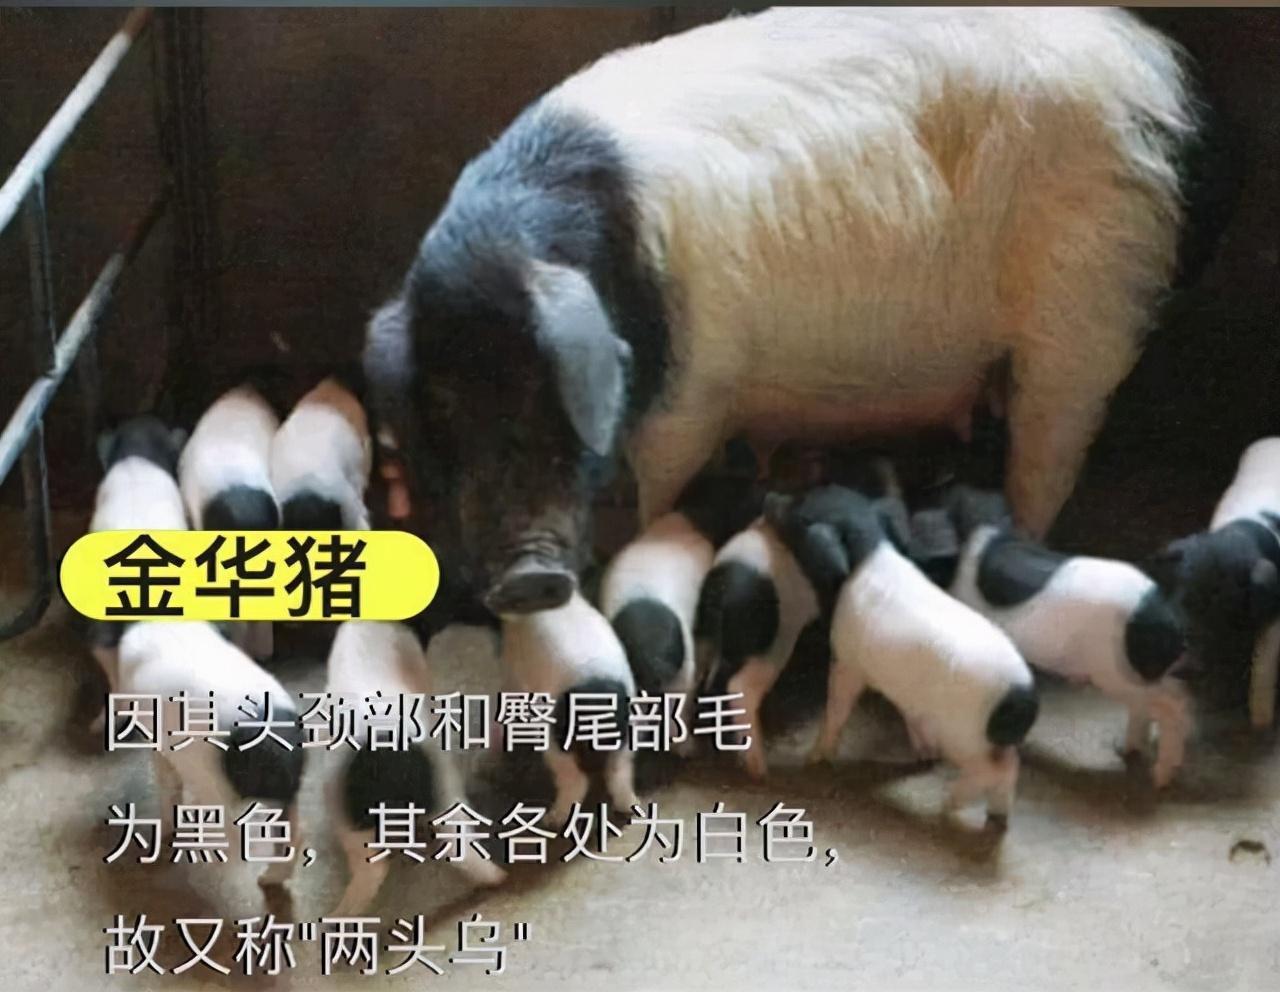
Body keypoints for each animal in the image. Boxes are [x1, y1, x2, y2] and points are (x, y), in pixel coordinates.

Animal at [115, 621, 305, 889]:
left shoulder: (158, 744)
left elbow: (168, 785)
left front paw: (165, 832)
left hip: (217, 786)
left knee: (241, 843)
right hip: (286, 790)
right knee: (295, 833)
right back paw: (268, 880)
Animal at [364, 8, 1212, 621]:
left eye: (553, 394)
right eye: (440, 405)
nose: (527, 578)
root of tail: (1160, 72)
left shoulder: (695, 392)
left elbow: (661, 483)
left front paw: (641, 536)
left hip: (1086, 306)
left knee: (1050, 452)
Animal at [498, 591, 637, 825]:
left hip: (555, 736)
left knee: (574, 778)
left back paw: (552, 819)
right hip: (628, 732)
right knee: (619, 771)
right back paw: (631, 807)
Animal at [767, 485, 1039, 821]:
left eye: (802, 513)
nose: (768, 497)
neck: (869, 550)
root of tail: (1023, 694)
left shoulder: (848, 660)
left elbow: (837, 707)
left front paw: (814, 758)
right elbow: (908, 713)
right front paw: (924, 753)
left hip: (966, 735)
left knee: (997, 768)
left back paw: (949, 805)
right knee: (1010, 765)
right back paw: (997, 814)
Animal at [937, 486, 1192, 787]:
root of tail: (1164, 615)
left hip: (1119, 673)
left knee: (1174, 703)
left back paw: (1160, 777)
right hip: (1140, 675)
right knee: (1163, 700)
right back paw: (1126, 749)